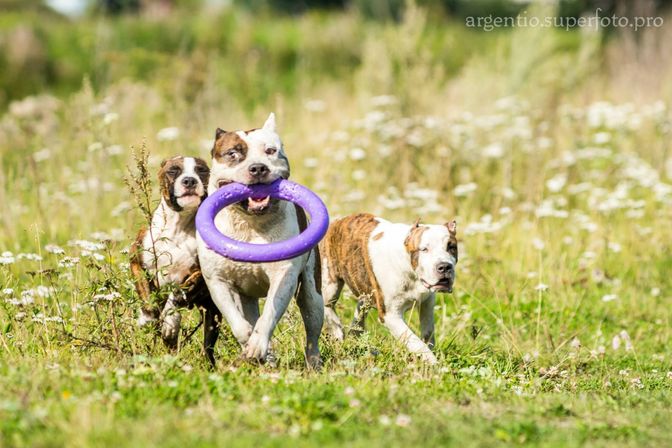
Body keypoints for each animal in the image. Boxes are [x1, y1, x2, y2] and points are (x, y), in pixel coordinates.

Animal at [132, 154, 223, 364]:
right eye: (173, 170)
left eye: (201, 170)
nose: (189, 180)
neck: (179, 227)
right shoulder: (136, 263)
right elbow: (147, 298)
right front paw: (147, 317)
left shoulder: (198, 275)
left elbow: (178, 293)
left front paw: (170, 321)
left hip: (213, 313)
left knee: (208, 345)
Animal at [196, 113, 324, 368]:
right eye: (233, 153)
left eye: (271, 151)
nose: (257, 168)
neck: (251, 223)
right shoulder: (218, 281)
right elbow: (238, 323)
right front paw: (250, 344)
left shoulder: (283, 277)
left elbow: (268, 317)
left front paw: (256, 346)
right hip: (246, 296)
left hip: (313, 293)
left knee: (312, 327)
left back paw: (313, 363)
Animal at [318, 214, 456, 364]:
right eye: (424, 249)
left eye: (451, 247)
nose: (445, 266)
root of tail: (339, 220)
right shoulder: (390, 315)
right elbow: (415, 341)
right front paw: (433, 363)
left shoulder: (427, 303)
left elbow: (428, 332)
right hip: (330, 281)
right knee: (327, 305)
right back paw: (337, 329)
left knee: (361, 307)